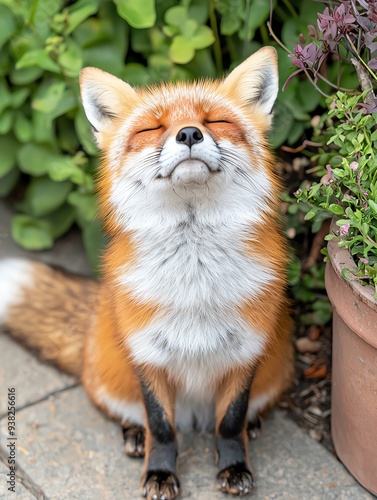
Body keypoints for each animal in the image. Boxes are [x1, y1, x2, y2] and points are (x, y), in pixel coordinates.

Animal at [0, 46, 292, 496]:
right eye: (152, 128)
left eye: (216, 121)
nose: (188, 134)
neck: (194, 280)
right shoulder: (148, 355)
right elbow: (162, 427)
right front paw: (160, 473)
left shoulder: (245, 351)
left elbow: (230, 422)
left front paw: (234, 467)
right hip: (111, 380)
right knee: (132, 416)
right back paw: (134, 435)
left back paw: (254, 425)